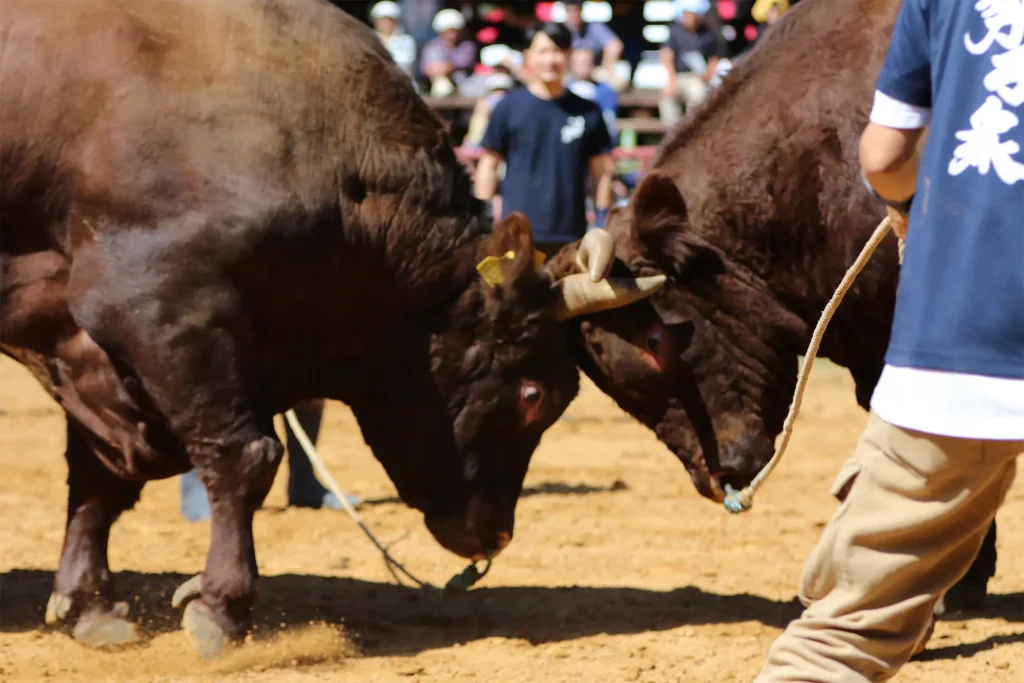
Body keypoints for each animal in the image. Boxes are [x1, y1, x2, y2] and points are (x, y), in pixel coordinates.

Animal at [0, 0, 655, 659]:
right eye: (533, 394)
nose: (496, 537)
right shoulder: (160, 307)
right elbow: (244, 455)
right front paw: (221, 607)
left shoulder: (88, 347)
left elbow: (99, 474)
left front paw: (89, 604)